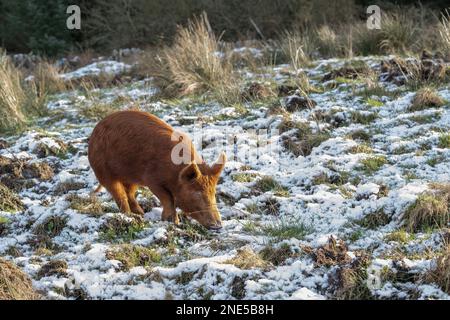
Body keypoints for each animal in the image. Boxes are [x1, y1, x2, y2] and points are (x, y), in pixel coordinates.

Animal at [88, 110, 227, 230]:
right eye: (197, 194)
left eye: (213, 193)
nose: (218, 226)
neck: (174, 175)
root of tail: (94, 133)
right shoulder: (152, 180)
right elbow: (168, 199)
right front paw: (174, 222)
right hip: (103, 172)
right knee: (120, 195)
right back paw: (129, 216)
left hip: (132, 178)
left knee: (130, 194)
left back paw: (140, 214)